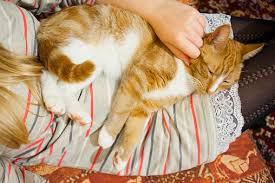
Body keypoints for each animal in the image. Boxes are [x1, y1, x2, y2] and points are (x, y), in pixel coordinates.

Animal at [37, 4, 266, 170]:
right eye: (210, 71)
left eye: (226, 82)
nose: (210, 91)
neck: (186, 72)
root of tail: (46, 23)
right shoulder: (137, 78)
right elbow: (121, 110)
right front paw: (108, 135)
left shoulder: (145, 107)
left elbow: (135, 130)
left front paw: (122, 155)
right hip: (84, 55)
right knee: (54, 77)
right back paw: (64, 105)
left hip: (82, 64)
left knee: (55, 80)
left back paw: (69, 110)